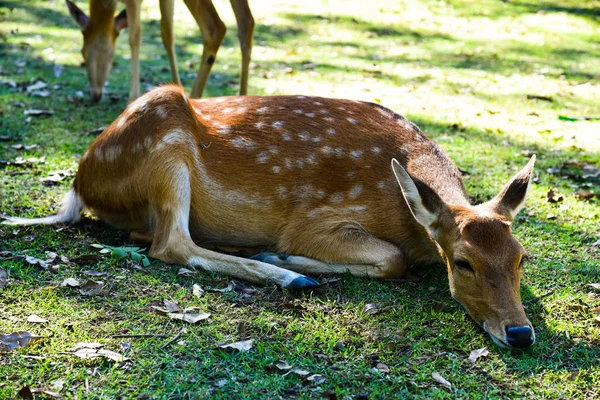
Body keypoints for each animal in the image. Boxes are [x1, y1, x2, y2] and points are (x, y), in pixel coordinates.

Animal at [2, 86, 540, 348]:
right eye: (463, 263)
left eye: (521, 258)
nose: (520, 334)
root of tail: (79, 182)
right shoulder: (314, 220)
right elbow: (392, 259)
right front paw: (288, 256)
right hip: (166, 147)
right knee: (170, 243)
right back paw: (288, 274)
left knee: (150, 235)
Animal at [65, 0, 253, 101]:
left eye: (82, 53)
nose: (95, 94)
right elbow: (167, 32)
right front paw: (175, 86)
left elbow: (135, 36)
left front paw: (133, 98)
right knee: (246, 22)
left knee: (215, 27)